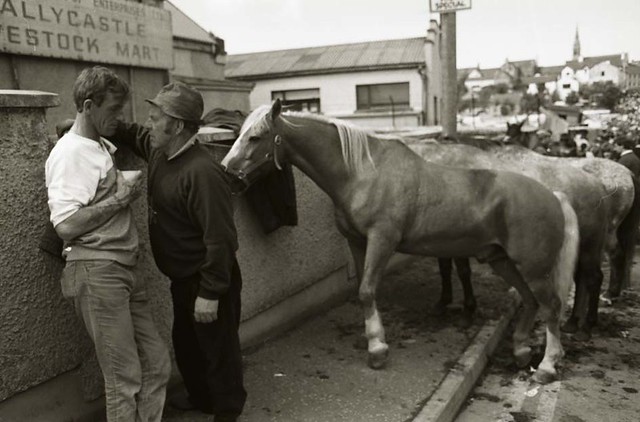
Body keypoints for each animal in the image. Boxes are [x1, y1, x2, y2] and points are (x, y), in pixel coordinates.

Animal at [222, 100, 584, 384]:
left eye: (255, 137)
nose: (227, 174)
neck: (362, 172)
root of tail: (554, 195)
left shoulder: (382, 240)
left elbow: (367, 290)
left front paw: (377, 349)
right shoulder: (358, 243)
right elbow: (363, 290)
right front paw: (373, 340)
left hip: (533, 268)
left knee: (551, 307)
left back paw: (547, 367)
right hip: (502, 260)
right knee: (531, 301)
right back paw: (521, 350)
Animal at [408, 138, 612, 340]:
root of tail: (598, 185)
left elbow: (463, 273)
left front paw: (467, 312)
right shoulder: (440, 243)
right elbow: (444, 270)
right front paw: (443, 302)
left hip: (589, 248)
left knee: (594, 278)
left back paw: (587, 325)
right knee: (582, 279)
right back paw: (573, 322)